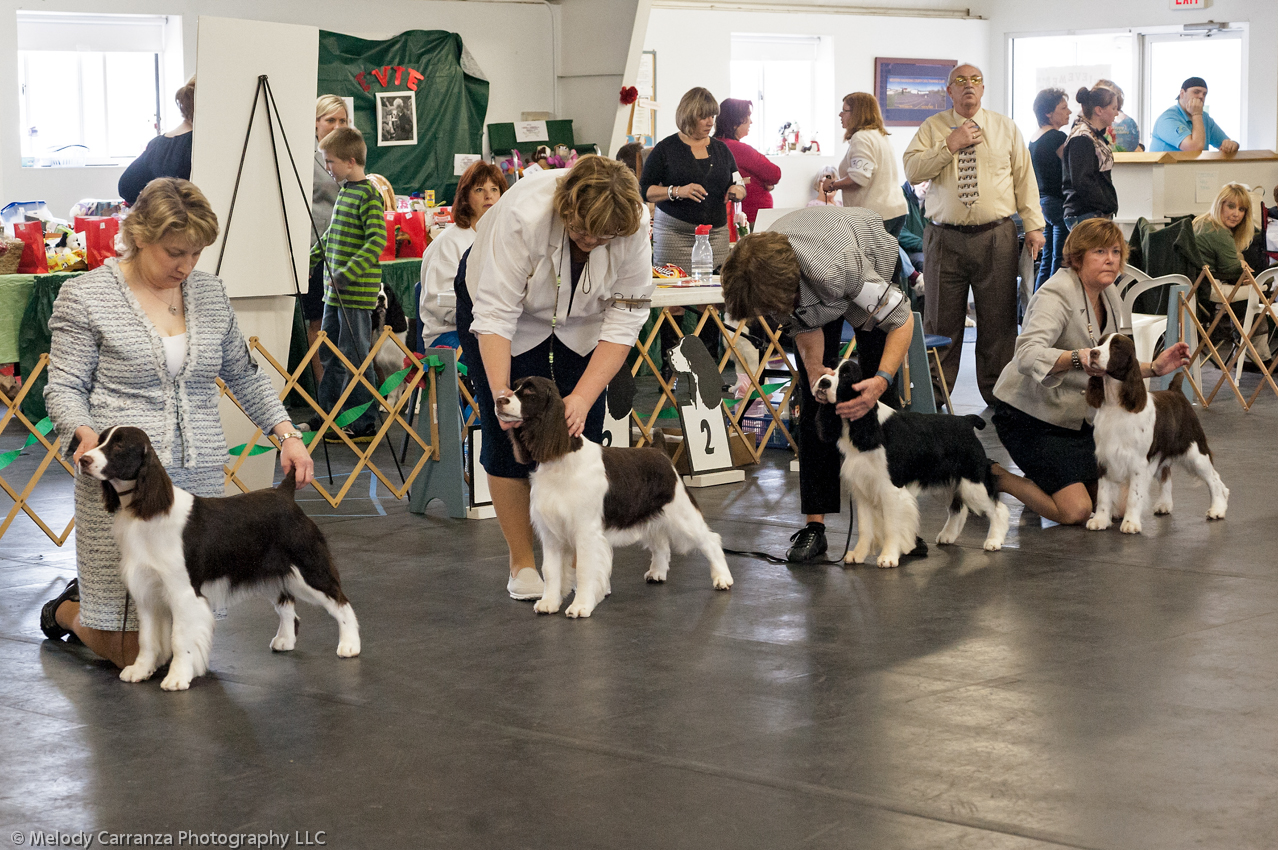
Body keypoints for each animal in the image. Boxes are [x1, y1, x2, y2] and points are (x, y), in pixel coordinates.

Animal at [78, 424, 360, 690]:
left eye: (119, 445)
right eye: (99, 440)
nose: (83, 459)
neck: (146, 508)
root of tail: (284, 494)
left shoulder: (182, 593)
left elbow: (179, 638)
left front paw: (177, 678)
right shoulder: (146, 591)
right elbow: (147, 638)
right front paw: (140, 670)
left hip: (308, 568)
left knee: (340, 602)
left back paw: (350, 645)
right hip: (268, 572)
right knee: (287, 603)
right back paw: (285, 640)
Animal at [493, 375, 731, 616]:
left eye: (530, 392)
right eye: (514, 387)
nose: (499, 400)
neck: (562, 460)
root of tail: (660, 451)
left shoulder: (586, 531)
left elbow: (584, 569)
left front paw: (580, 606)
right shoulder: (551, 532)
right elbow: (550, 569)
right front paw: (549, 603)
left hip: (681, 514)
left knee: (710, 540)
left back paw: (722, 579)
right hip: (649, 514)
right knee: (660, 542)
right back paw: (657, 572)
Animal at [817, 357, 1007, 562]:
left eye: (846, 374)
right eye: (828, 369)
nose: (823, 383)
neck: (868, 425)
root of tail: (966, 420)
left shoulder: (890, 489)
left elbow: (891, 526)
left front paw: (888, 557)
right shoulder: (863, 488)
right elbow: (864, 527)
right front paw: (858, 555)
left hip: (972, 482)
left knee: (997, 508)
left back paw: (994, 541)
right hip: (944, 483)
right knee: (958, 508)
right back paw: (947, 535)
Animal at [1088, 329, 1226, 531]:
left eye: (1116, 346)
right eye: (1100, 343)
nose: (1092, 353)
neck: (1116, 404)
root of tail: (1176, 391)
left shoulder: (1138, 461)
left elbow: (1134, 495)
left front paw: (1130, 523)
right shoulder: (1105, 458)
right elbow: (1103, 494)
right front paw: (1100, 520)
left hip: (1195, 451)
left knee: (1215, 479)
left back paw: (1217, 509)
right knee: (1166, 474)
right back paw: (1164, 504)